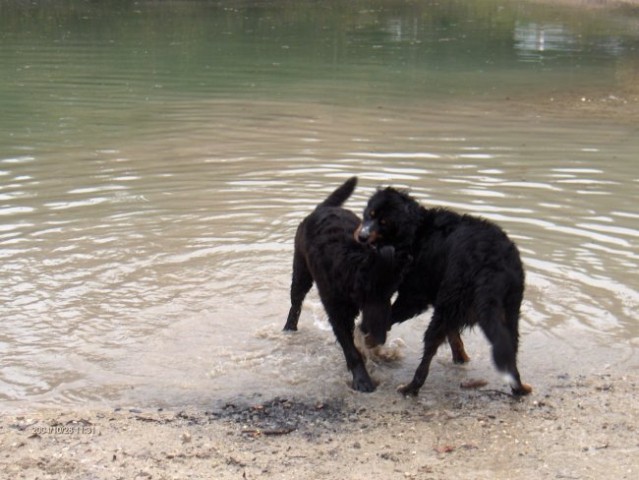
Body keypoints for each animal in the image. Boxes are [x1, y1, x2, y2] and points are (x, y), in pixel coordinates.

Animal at [284, 178, 400, 392]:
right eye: (371, 292)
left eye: (391, 293)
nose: (380, 338)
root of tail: (323, 207)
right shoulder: (336, 313)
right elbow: (352, 350)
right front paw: (362, 379)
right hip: (301, 272)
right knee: (295, 303)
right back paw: (289, 328)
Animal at [358, 188, 532, 398]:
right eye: (370, 214)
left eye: (384, 222)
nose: (361, 236)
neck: (417, 233)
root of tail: (491, 263)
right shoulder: (448, 307)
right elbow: (454, 336)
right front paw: (461, 358)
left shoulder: (414, 297)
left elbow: (385, 319)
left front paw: (367, 339)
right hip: (508, 312)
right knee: (509, 350)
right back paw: (519, 388)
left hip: (446, 307)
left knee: (426, 357)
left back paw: (410, 388)